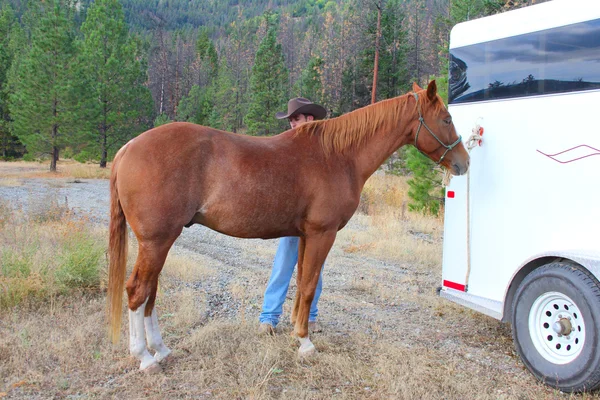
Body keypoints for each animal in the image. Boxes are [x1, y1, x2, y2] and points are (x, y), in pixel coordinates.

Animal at [110, 81, 472, 372]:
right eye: (447, 119)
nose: (464, 163)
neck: (338, 155)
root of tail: (127, 147)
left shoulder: (303, 235)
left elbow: (300, 284)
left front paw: (296, 331)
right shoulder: (322, 234)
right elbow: (310, 286)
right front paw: (305, 342)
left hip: (159, 241)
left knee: (151, 291)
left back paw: (161, 349)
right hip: (157, 241)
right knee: (137, 291)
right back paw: (144, 357)